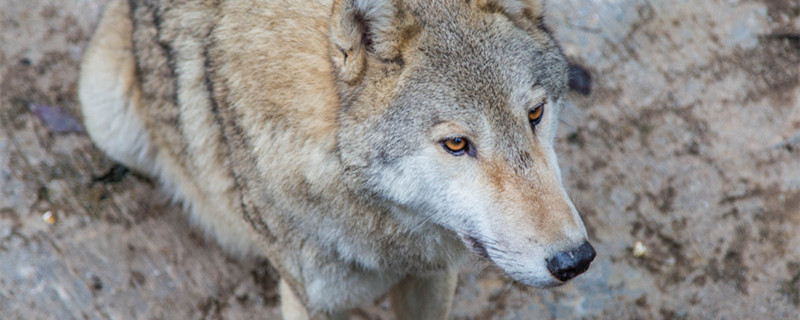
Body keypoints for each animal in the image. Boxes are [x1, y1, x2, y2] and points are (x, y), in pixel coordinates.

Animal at [79, 0, 592, 318]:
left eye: (535, 113)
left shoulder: (433, 279)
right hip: (107, 112)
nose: (575, 260)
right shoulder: (315, 302)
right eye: (456, 144)